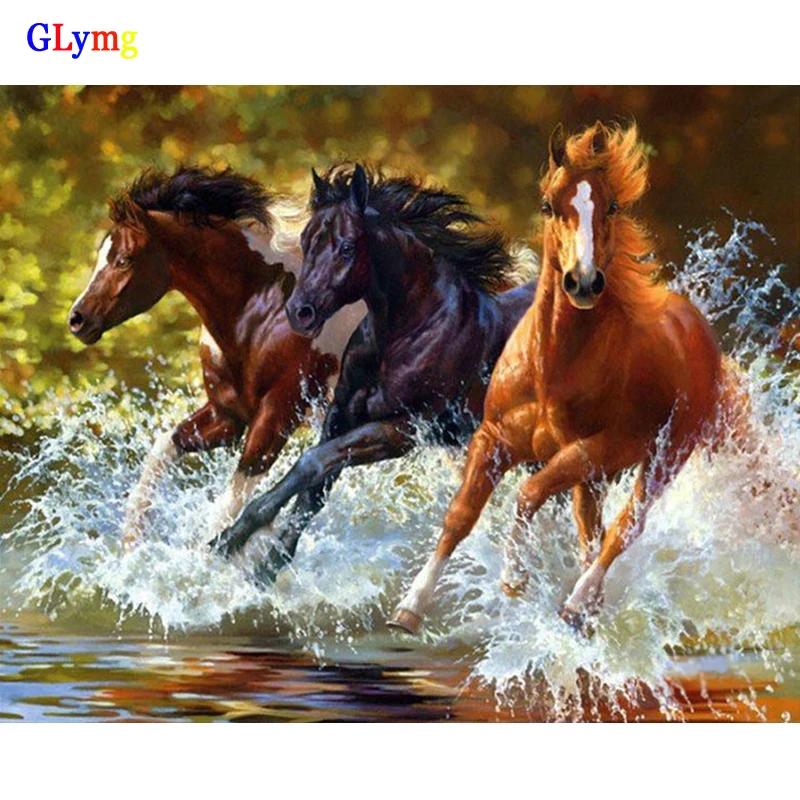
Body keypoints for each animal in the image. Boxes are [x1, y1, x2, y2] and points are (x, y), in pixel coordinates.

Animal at [69, 166, 364, 548]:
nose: (77, 319)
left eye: (123, 259)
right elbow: (164, 448)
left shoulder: (277, 415)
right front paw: (131, 544)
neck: (263, 311)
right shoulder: (228, 414)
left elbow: (229, 504)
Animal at [209, 163, 538, 583]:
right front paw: (266, 565)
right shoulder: (343, 414)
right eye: (306, 241)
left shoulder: (402, 429)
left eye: (347, 247)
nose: (300, 312)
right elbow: (315, 488)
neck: (410, 332)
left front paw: (235, 537)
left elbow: (311, 464)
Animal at [391, 122, 742, 635]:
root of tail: (697, 328)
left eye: (612, 206)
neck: (551, 369)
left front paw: (514, 578)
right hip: (592, 478)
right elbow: (460, 516)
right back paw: (587, 607)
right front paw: (410, 607)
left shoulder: (597, 448)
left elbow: (528, 494)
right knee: (591, 531)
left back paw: (577, 603)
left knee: (624, 528)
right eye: (547, 205)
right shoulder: (493, 438)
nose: (583, 281)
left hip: (661, 457)